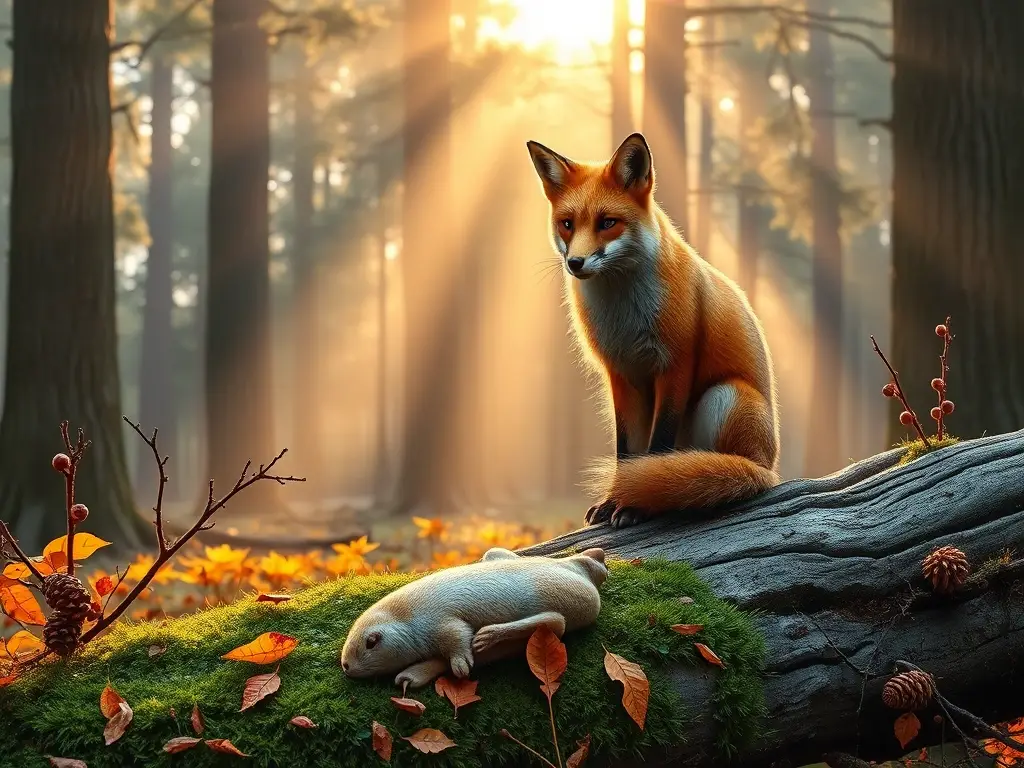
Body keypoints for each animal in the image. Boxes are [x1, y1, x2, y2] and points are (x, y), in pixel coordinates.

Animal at [526, 132, 781, 529]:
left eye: (607, 222)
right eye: (567, 224)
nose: (575, 263)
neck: (624, 315)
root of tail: (769, 467)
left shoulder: (675, 365)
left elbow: (656, 447)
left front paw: (635, 506)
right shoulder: (620, 373)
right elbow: (627, 454)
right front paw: (614, 501)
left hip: (725, 395)